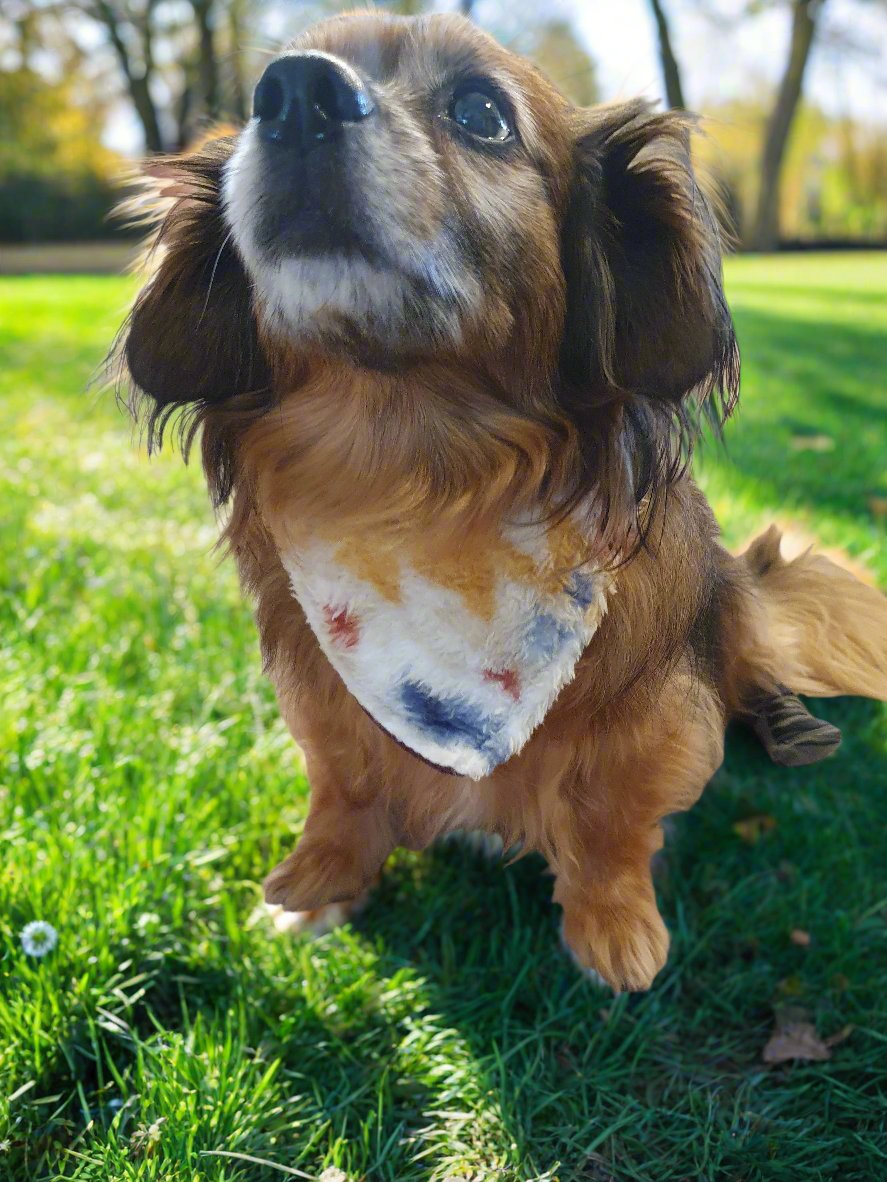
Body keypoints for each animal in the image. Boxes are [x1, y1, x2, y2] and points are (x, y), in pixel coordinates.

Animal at [111, 11, 887, 988]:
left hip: (730, 601)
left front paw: (614, 930)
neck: (416, 487)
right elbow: (344, 788)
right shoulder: (324, 697)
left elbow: (609, 824)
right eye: (261, 95)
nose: (292, 96)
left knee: (749, 662)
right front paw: (317, 884)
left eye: (481, 113)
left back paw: (783, 720)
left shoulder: (656, 719)